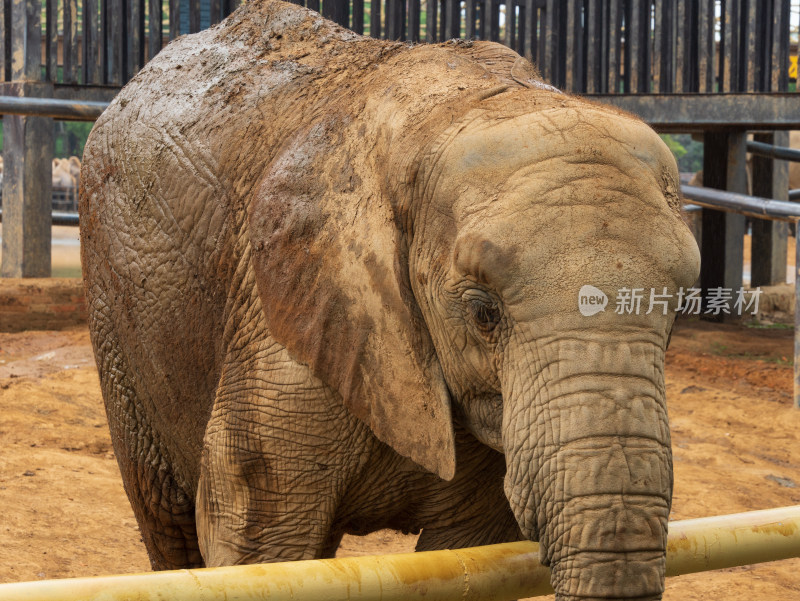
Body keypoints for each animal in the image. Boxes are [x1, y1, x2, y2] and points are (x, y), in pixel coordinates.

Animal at [79, 2, 700, 596]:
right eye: (483, 314)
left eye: (677, 310)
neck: (470, 103)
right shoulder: (288, 315)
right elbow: (258, 544)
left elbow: (470, 554)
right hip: (114, 303)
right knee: (169, 523)